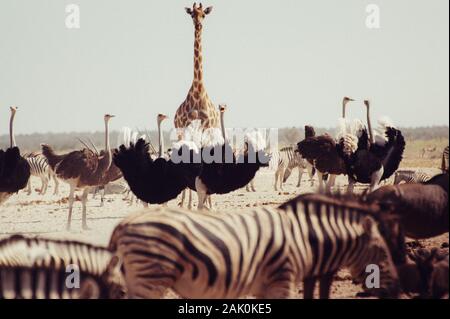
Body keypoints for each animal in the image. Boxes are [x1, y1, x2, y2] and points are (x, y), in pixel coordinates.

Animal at [108, 194, 400, 302]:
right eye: (381, 252)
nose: (398, 289)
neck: (304, 237)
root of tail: (123, 224)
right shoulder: (282, 279)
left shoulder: (265, 286)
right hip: (151, 275)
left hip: (138, 277)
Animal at [174, 2, 220, 130]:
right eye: (192, 15)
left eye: (203, 15)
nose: (198, 25)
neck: (198, 91)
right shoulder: (186, 125)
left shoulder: (207, 125)